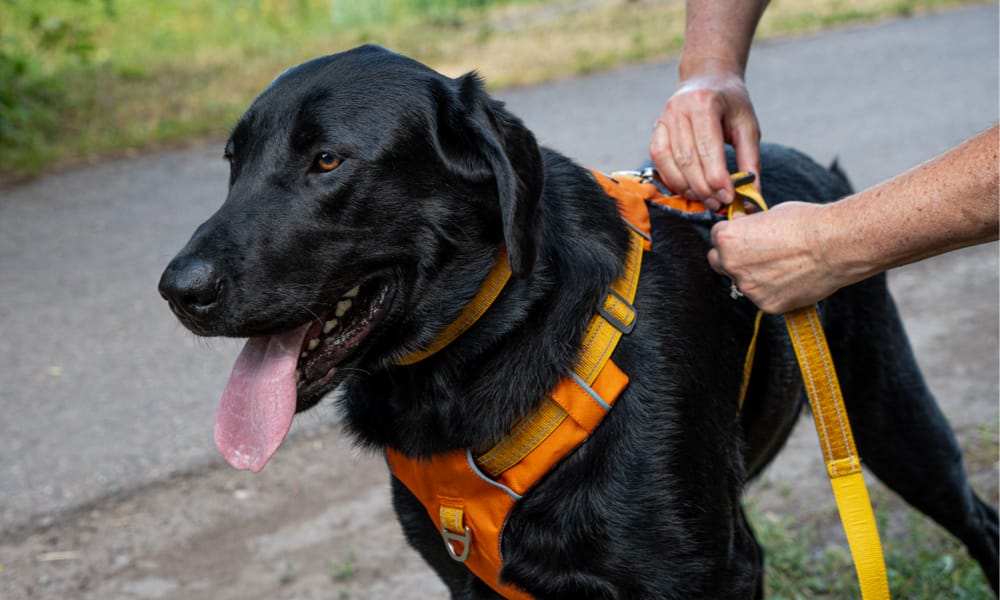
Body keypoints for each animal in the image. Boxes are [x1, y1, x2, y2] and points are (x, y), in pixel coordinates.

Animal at [160, 45, 996, 596]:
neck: (486, 355)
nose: (176, 290)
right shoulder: (476, 586)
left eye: (327, 161)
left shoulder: (712, 576)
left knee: (980, 521)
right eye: (233, 161)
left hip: (892, 421)